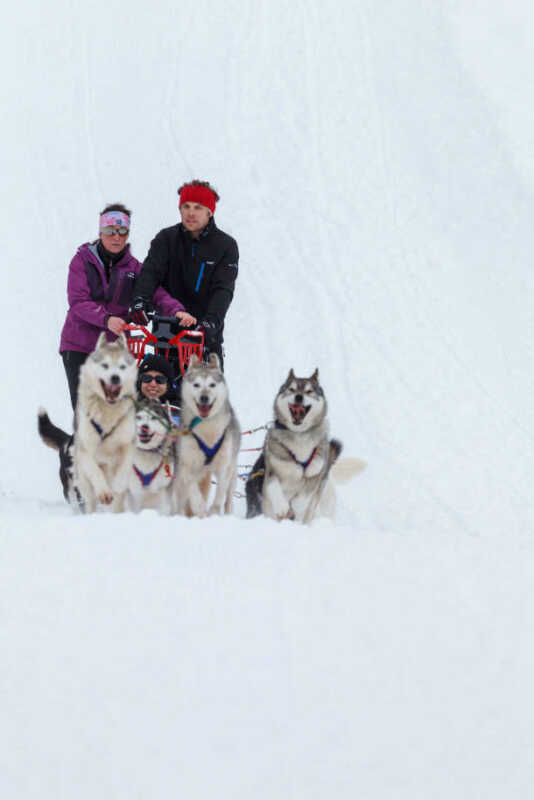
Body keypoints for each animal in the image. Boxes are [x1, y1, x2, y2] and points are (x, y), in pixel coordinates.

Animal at [71, 332, 138, 512]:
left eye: (122, 367)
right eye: (105, 365)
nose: (115, 378)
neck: (108, 409)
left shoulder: (127, 443)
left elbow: (124, 468)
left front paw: (118, 484)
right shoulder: (86, 449)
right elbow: (95, 471)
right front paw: (104, 492)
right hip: (84, 481)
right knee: (90, 500)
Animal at [175, 354, 242, 520]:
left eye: (212, 385)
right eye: (196, 385)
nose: (204, 397)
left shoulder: (224, 466)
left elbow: (220, 493)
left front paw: (214, 512)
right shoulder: (187, 465)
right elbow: (193, 491)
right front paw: (199, 508)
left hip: (233, 470)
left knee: (229, 496)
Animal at [247, 370, 364, 524]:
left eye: (309, 391)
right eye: (292, 389)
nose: (299, 397)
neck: (299, 436)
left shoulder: (315, 475)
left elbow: (303, 498)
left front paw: (296, 507)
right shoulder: (271, 470)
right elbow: (274, 487)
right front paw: (282, 507)